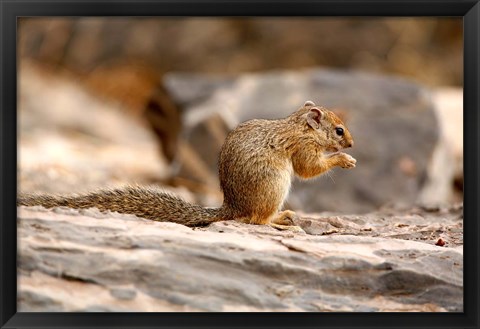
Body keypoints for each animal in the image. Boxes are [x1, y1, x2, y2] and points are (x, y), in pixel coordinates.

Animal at [17, 100, 356, 231]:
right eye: (339, 130)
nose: (352, 144)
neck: (299, 126)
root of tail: (231, 206)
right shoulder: (303, 149)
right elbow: (309, 169)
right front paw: (344, 160)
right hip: (275, 185)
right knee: (256, 220)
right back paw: (280, 219)